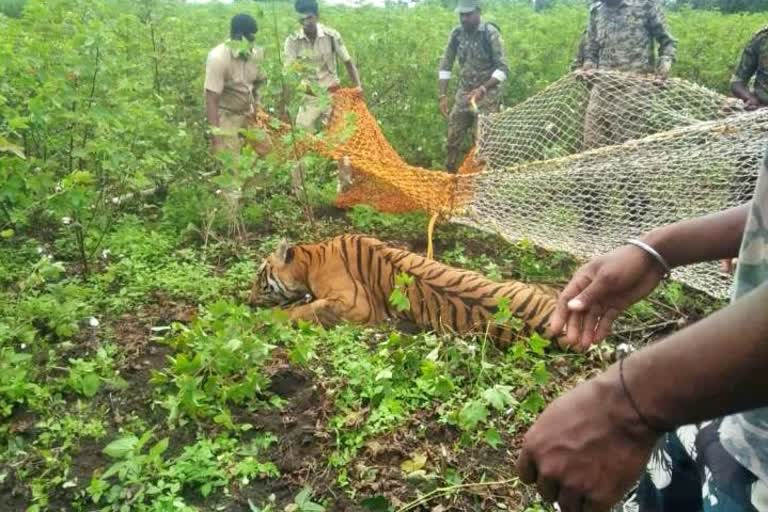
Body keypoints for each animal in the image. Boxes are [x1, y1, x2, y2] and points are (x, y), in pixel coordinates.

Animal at [252, 234, 560, 346]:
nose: (247, 297)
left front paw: (268, 318)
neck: (311, 258)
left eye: (259, 276)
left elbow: (307, 308)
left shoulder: (355, 304)